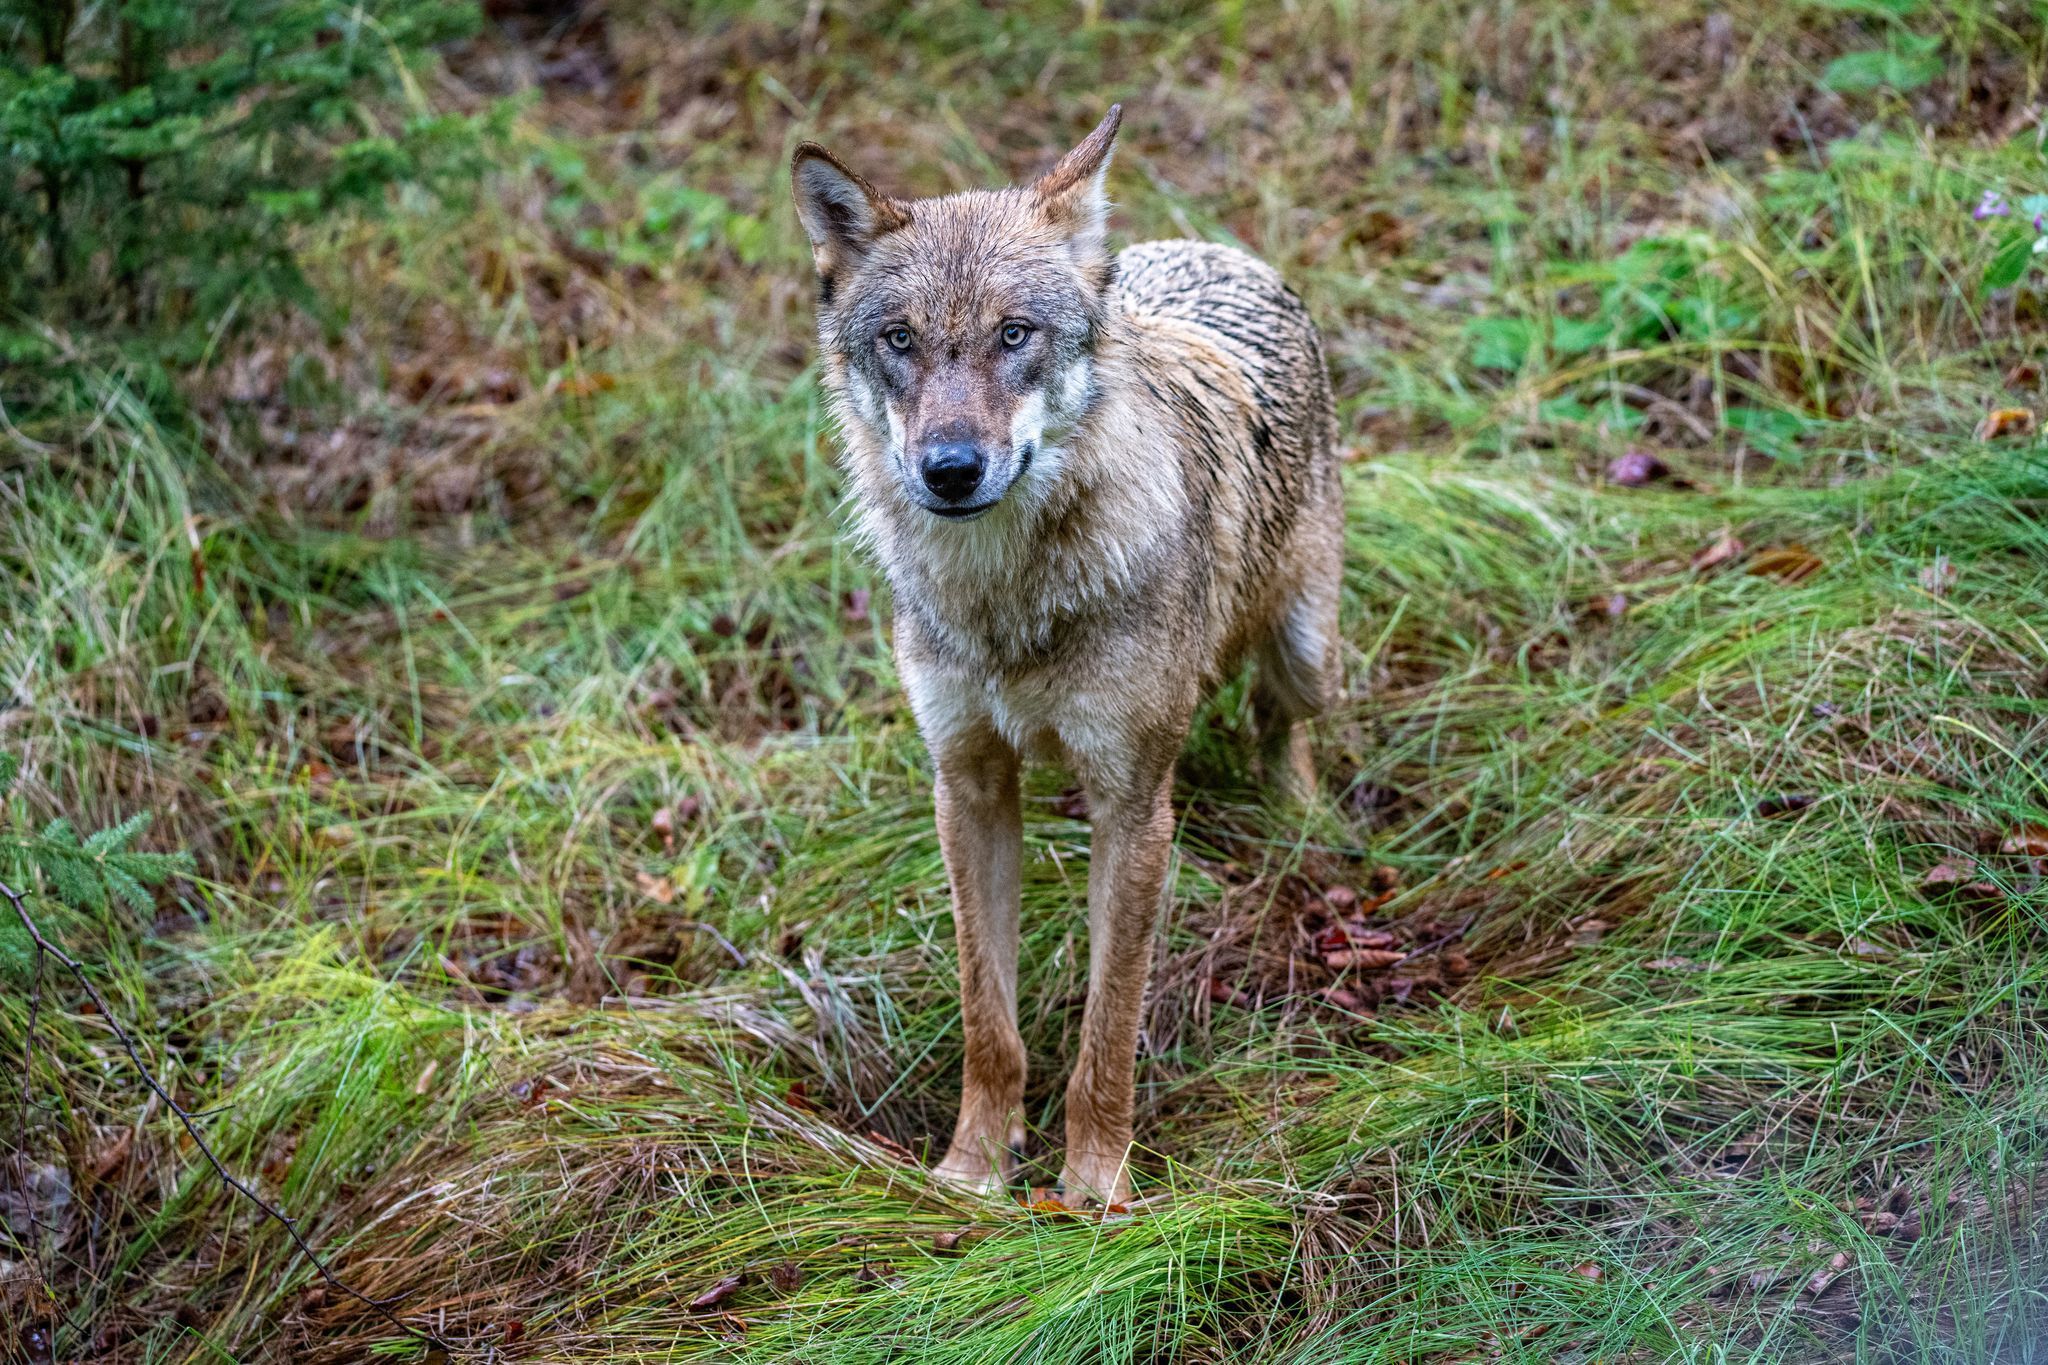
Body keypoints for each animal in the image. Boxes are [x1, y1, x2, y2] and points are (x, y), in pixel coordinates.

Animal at [791, 105, 1343, 1205]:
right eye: (900, 340)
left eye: (1015, 335)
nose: (950, 469)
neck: (1008, 599)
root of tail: (1211, 250)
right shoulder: (965, 784)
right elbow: (987, 1019)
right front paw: (972, 1172)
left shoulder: (1133, 808)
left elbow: (1108, 1027)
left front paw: (1093, 1191)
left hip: (1304, 649)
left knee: (1281, 720)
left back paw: (1300, 820)